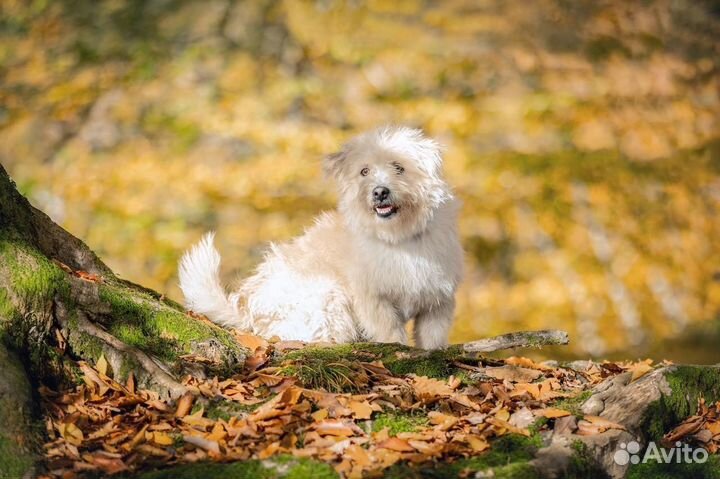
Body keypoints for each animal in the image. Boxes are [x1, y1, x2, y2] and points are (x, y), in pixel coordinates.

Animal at [177, 127, 464, 350]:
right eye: (364, 171)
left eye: (399, 168)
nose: (380, 192)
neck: (399, 238)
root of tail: (247, 312)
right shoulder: (373, 301)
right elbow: (390, 333)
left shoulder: (438, 302)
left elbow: (432, 338)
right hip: (328, 296)